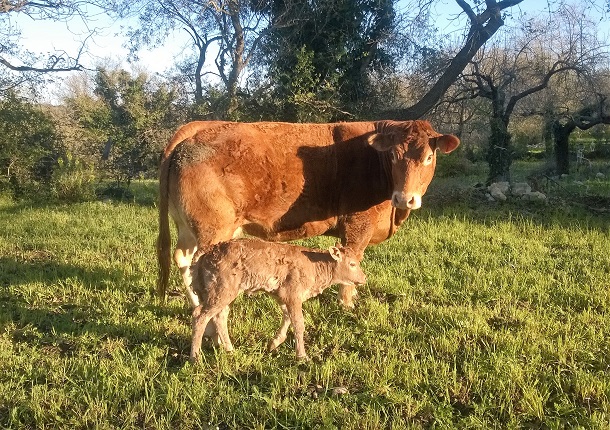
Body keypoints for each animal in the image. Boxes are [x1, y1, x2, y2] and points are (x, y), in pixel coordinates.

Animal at [156, 121, 456, 310]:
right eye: (393, 156)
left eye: (429, 157)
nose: (405, 198)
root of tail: (193, 133)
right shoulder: (358, 226)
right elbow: (352, 259)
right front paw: (347, 302)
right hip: (214, 228)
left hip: (188, 226)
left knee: (182, 258)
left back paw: (195, 303)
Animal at [188, 240, 364, 362]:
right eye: (352, 264)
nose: (364, 278)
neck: (315, 264)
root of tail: (210, 250)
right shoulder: (293, 296)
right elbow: (298, 323)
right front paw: (302, 356)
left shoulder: (282, 296)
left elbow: (287, 317)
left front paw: (274, 342)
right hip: (221, 292)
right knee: (200, 316)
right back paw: (195, 357)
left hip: (224, 294)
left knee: (220, 316)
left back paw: (230, 350)